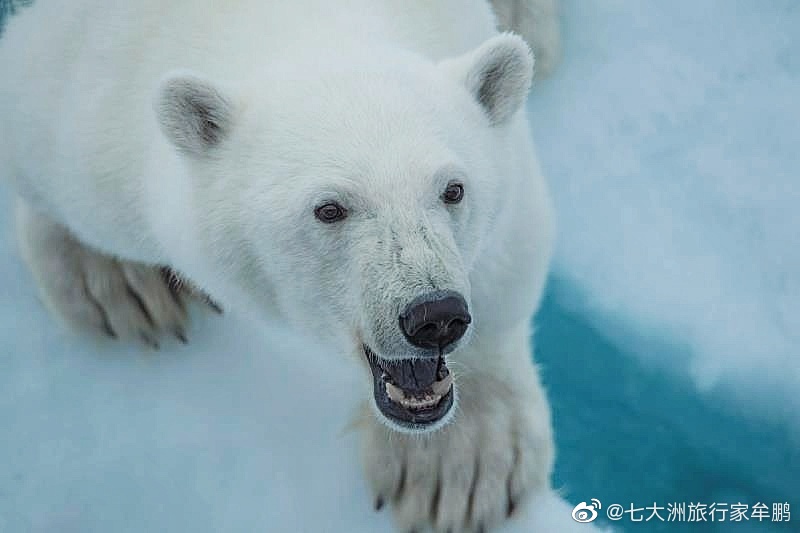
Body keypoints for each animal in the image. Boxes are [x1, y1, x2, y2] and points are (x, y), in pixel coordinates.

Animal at [0, 0, 559, 531]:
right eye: (329, 208)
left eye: (453, 189)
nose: (435, 316)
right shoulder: (98, 98)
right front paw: (115, 279)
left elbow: (509, 252)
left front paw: (460, 462)